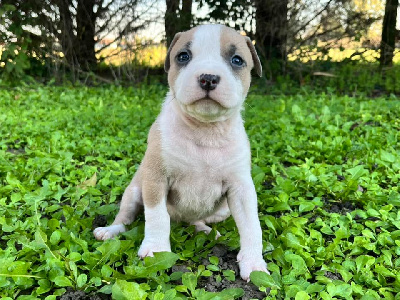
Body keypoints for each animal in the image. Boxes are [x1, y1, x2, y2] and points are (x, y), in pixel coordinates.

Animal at [94, 24, 268, 280]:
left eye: (237, 60)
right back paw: (110, 231)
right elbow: (157, 216)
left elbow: (252, 226)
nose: (208, 78)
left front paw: (254, 264)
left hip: (222, 210)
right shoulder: (155, 178)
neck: (205, 130)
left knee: (195, 221)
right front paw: (157, 250)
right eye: (183, 57)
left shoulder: (241, 190)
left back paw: (204, 230)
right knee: (125, 218)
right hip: (134, 192)